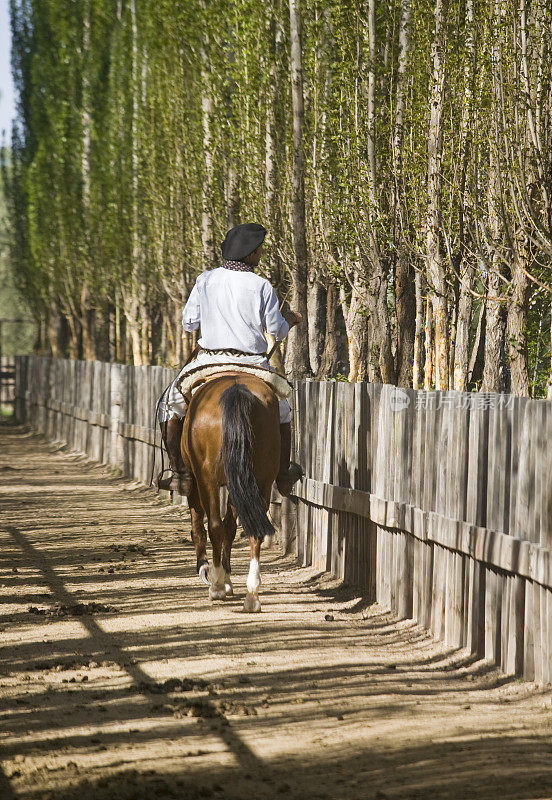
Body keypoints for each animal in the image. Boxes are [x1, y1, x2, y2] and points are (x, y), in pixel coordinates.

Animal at [182, 374, 280, 612]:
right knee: (254, 530)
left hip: (206, 478)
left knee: (214, 525)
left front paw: (211, 573)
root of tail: (236, 389)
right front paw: (227, 579)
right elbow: (230, 528)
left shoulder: (196, 480)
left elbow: (202, 525)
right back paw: (252, 595)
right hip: (260, 480)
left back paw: (216, 586)